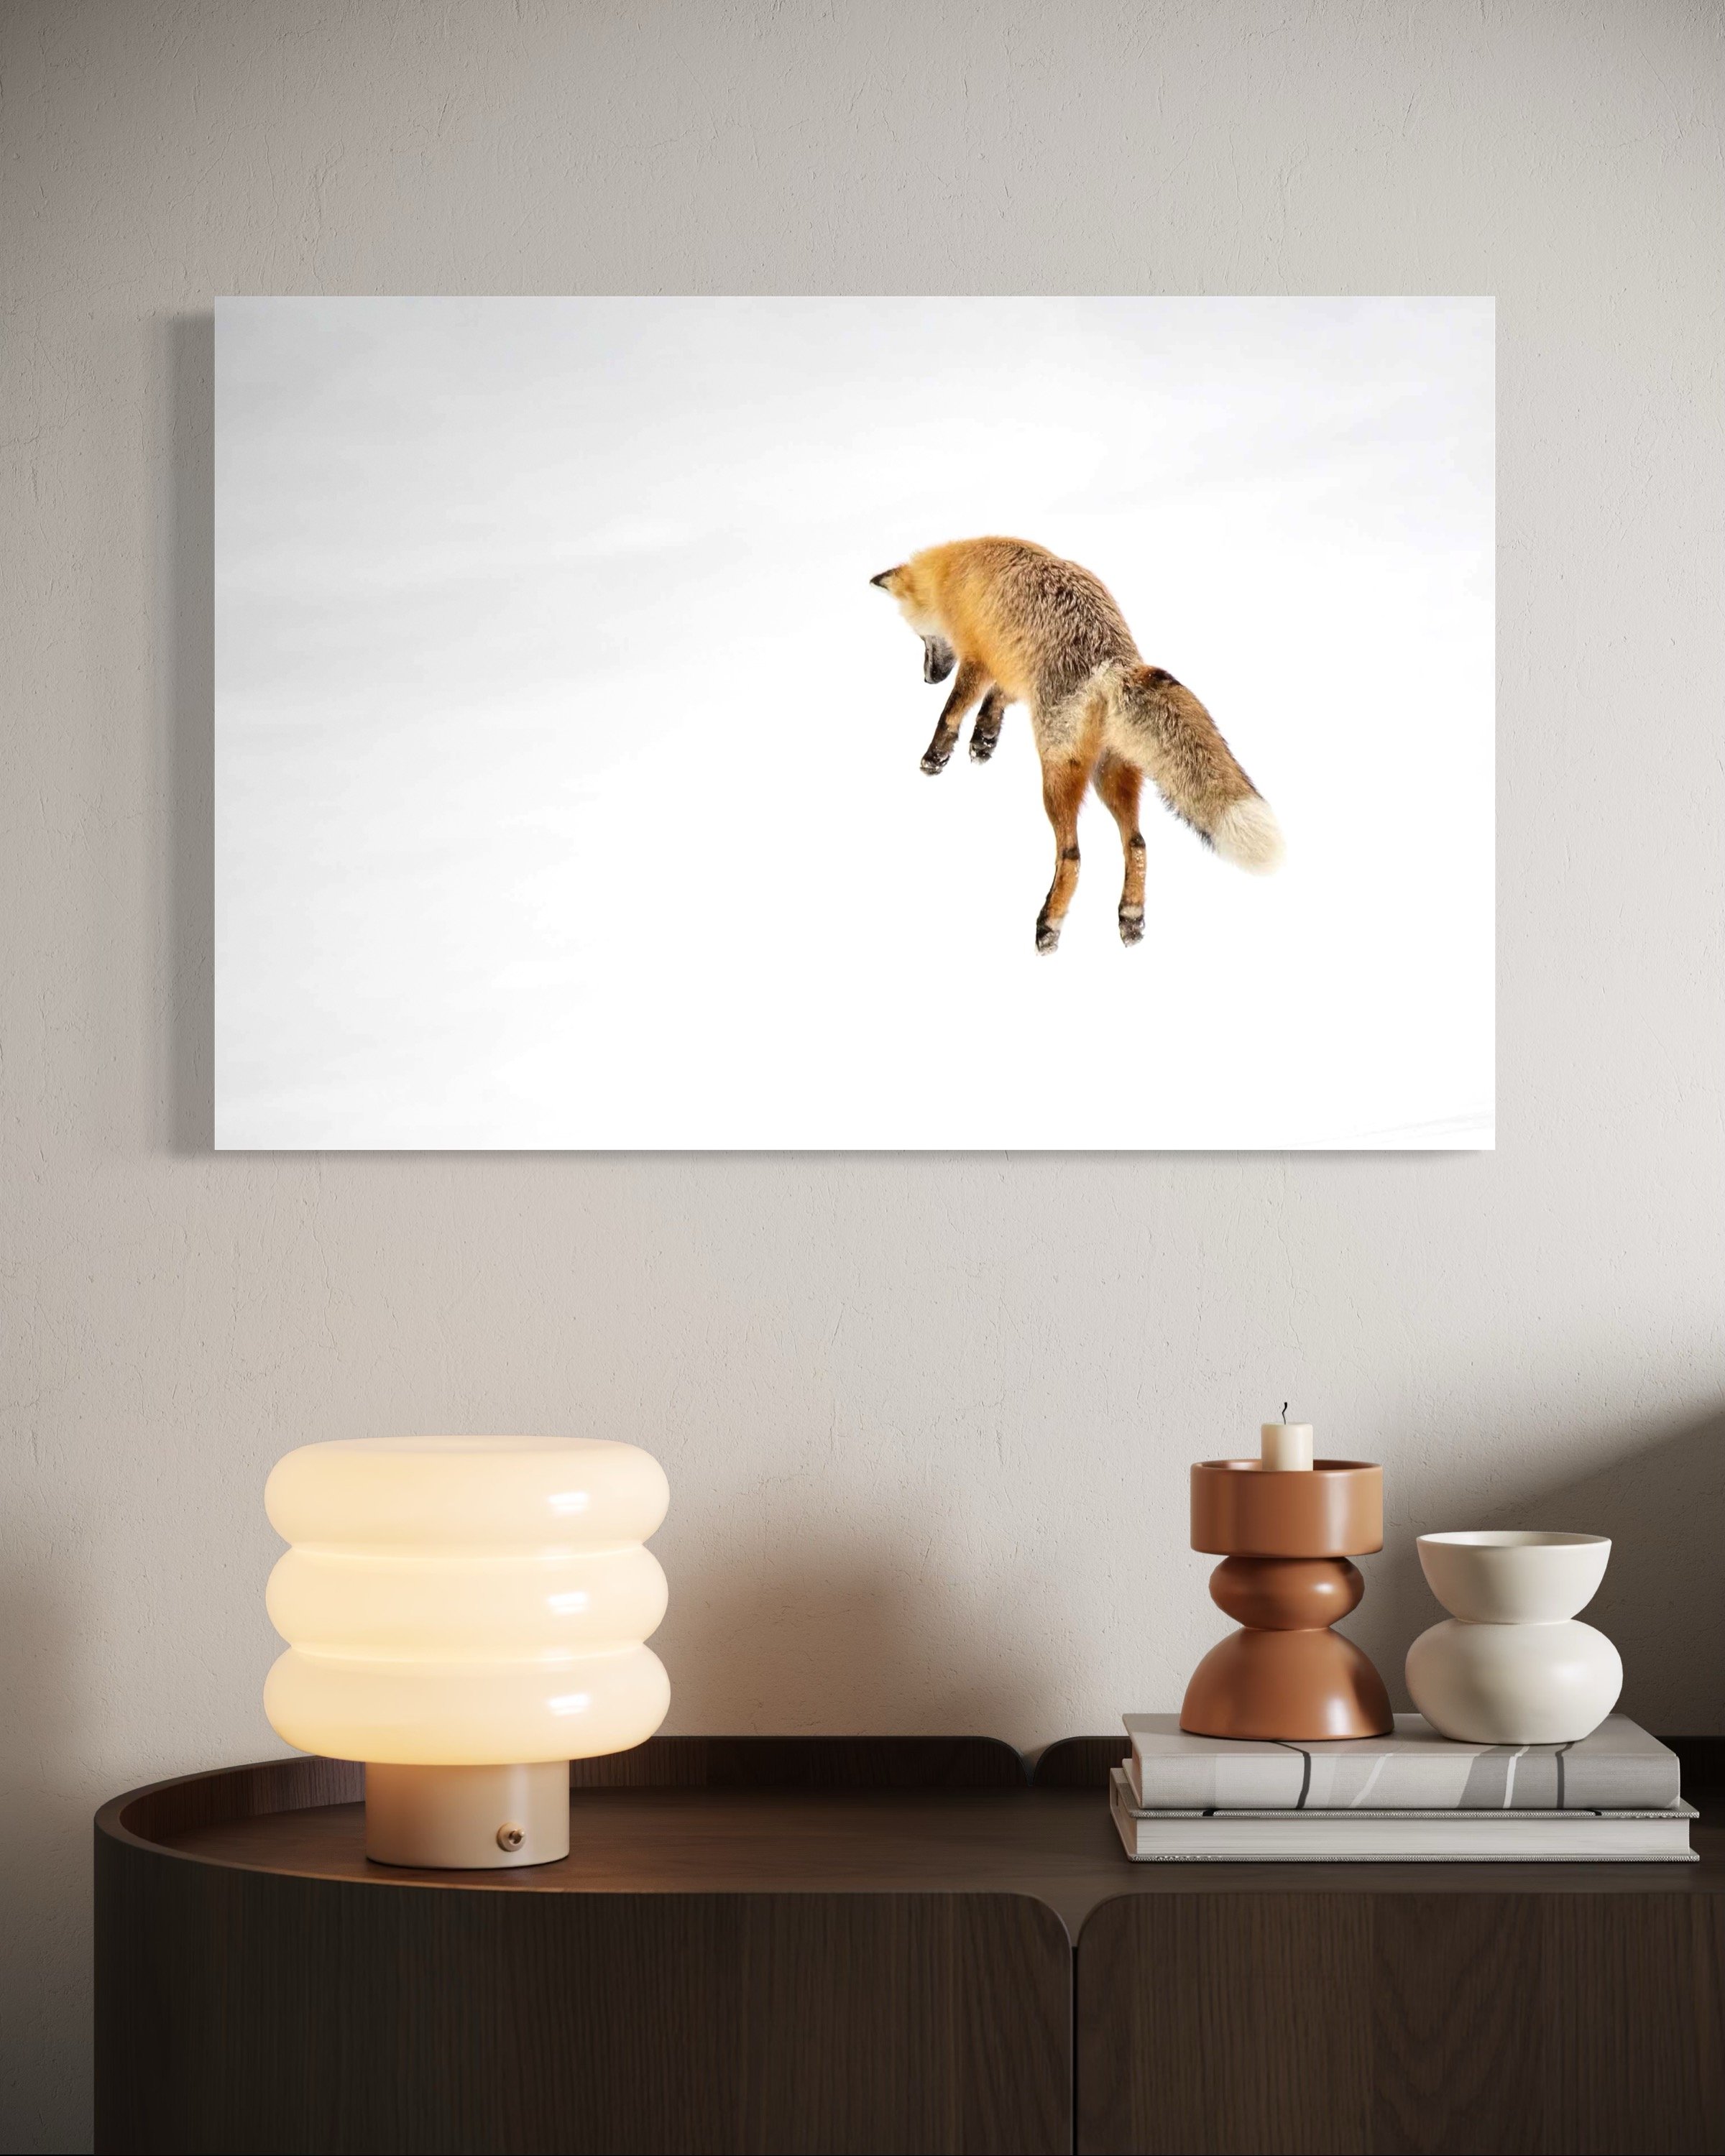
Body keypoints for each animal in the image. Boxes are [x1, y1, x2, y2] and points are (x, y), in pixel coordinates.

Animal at [871, 537, 1284, 952]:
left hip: (1056, 779)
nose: (929, 678)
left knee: (1071, 855)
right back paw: (1131, 916)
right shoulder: (1015, 667)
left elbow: (952, 712)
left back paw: (1049, 924)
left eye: (920, 637)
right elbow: (998, 700)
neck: (956, 571)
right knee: (1137, 843)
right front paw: (984, 738)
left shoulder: (978, 658)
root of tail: (1114, 665)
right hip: (1111, 775)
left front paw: (936, 756)